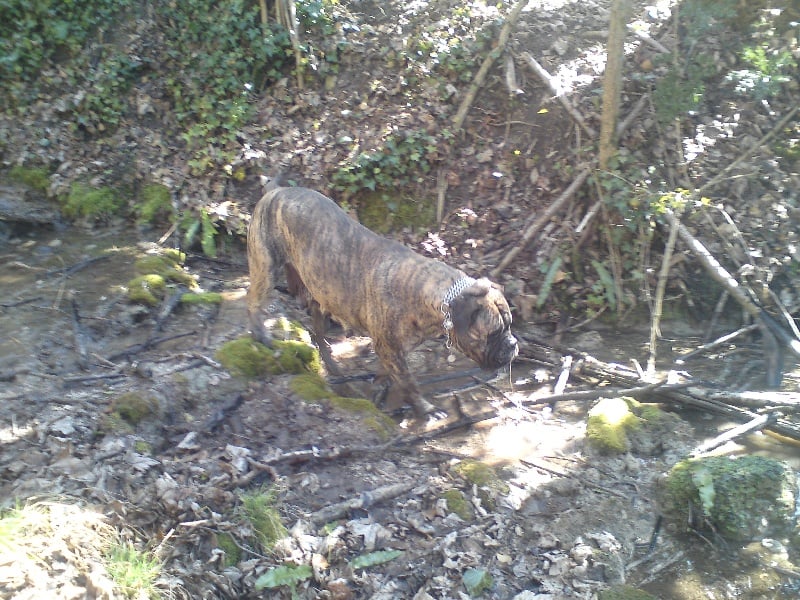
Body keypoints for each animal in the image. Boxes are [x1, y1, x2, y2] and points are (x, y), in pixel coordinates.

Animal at [246, 184, 519, 416]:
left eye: (510, 325)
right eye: (493, 333)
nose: (513, 344)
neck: (429, 294)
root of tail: (275, 191)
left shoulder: (391, 349)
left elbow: (385, 372)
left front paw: (379, 388)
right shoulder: (391, 349)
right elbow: (408, 382)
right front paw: (426, 409)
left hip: (320, 288)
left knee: (316, 322)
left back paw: (330, 359)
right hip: (266, 267)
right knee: (253, 301)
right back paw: (261, 335)